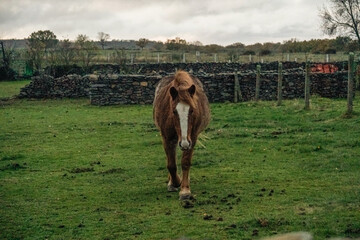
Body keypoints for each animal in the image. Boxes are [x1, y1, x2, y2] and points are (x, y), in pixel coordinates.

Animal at [153, 70, 211, 200]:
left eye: (192, 110)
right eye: (174, 111)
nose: (184, 143)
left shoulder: (192, 138)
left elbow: (185, 162)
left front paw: (185, 190)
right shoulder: (167, 138)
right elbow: (171, 164)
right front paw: (175, 183)